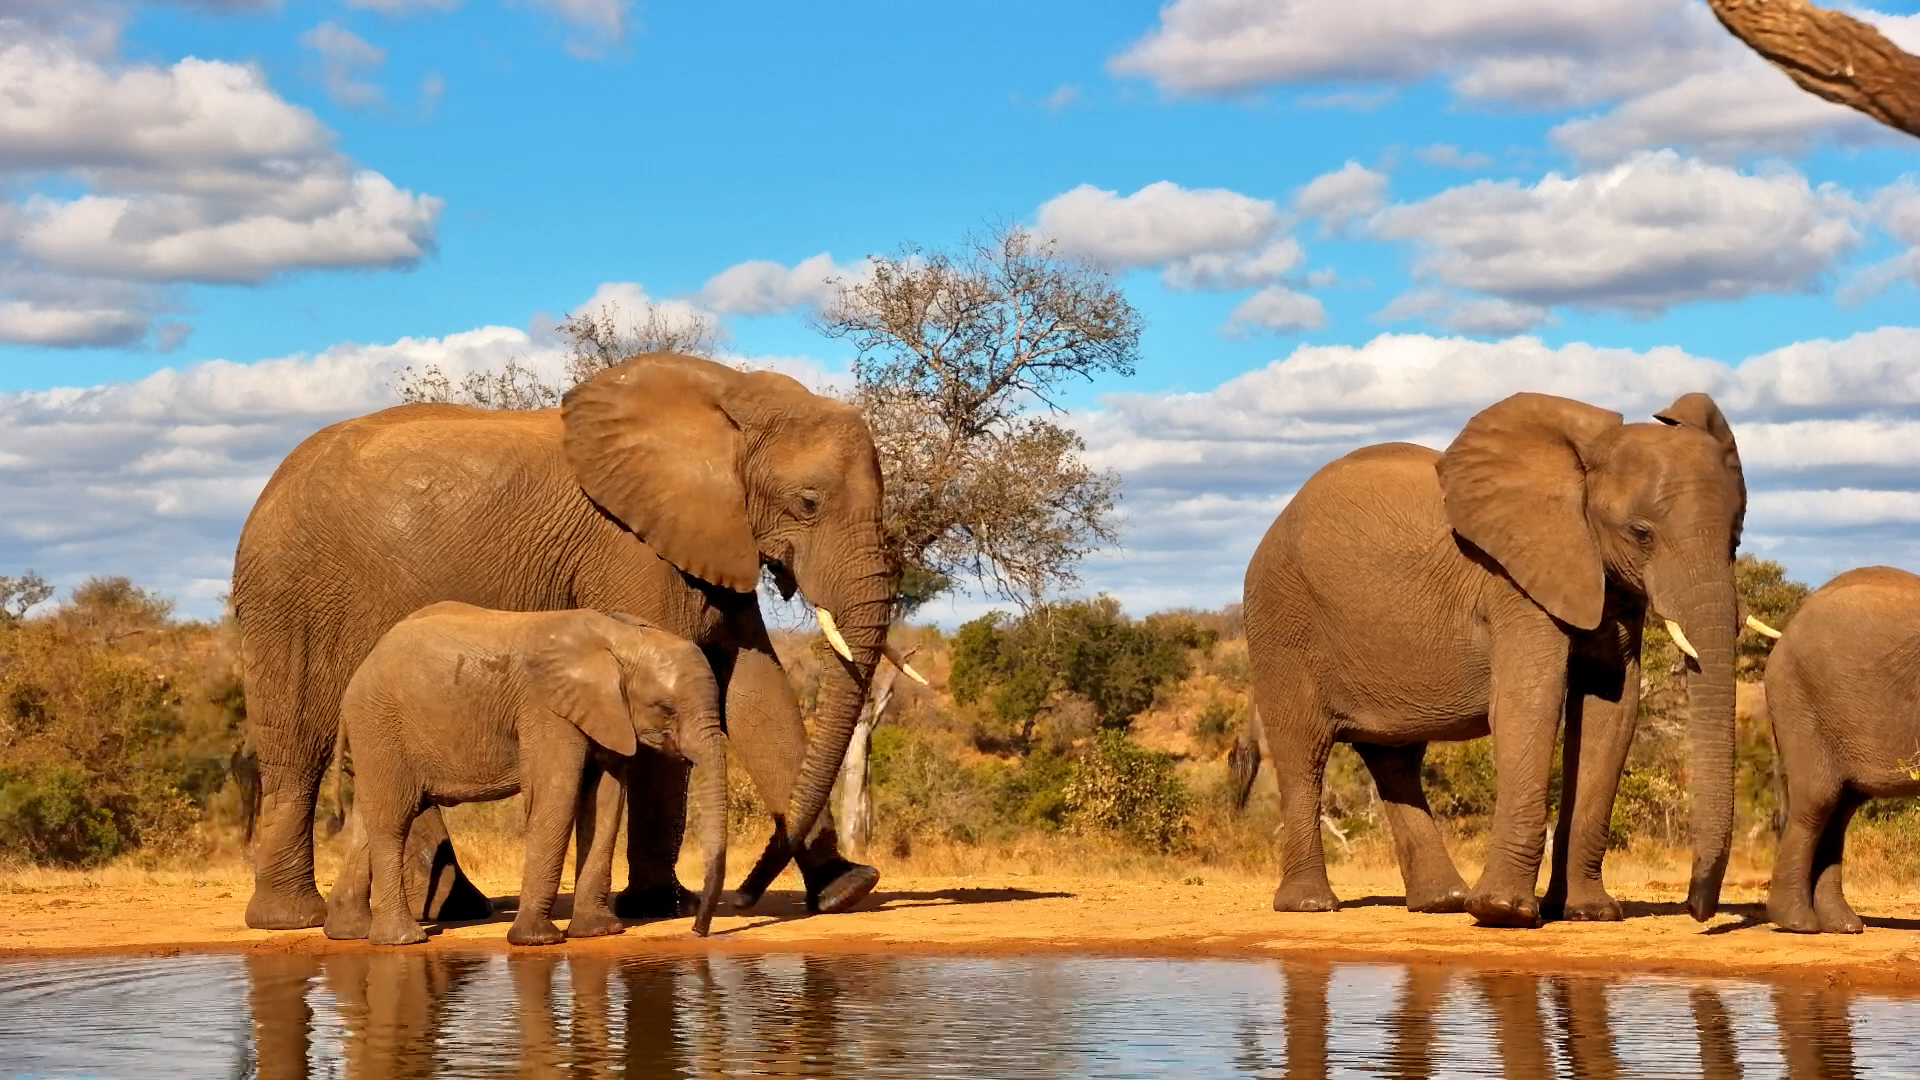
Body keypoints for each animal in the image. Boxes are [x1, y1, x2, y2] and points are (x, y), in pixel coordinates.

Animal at [322, 603, 728, 945]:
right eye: (666, 708)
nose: (697, 931)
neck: (620, 638)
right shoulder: (546, 711)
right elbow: (555, 797)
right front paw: (537, 940)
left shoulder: (608, 716)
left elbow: (605, 802)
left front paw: (598, 932)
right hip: (380, 725)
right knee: (393, 820)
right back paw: (403, 940)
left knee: (369, 820)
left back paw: (349, 932)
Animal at [1243, 391, 1749, 928]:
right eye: (1641, 532)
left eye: (1735, 538)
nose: (1697, 910)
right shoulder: (1513, 583)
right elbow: (1528, 704)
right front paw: (1504, 912)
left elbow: (1610, 710)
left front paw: (1588, 913)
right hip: (1281, 619)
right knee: (1303, 751)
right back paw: (1310, 905)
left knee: (1394, 757)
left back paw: (1442, 902)